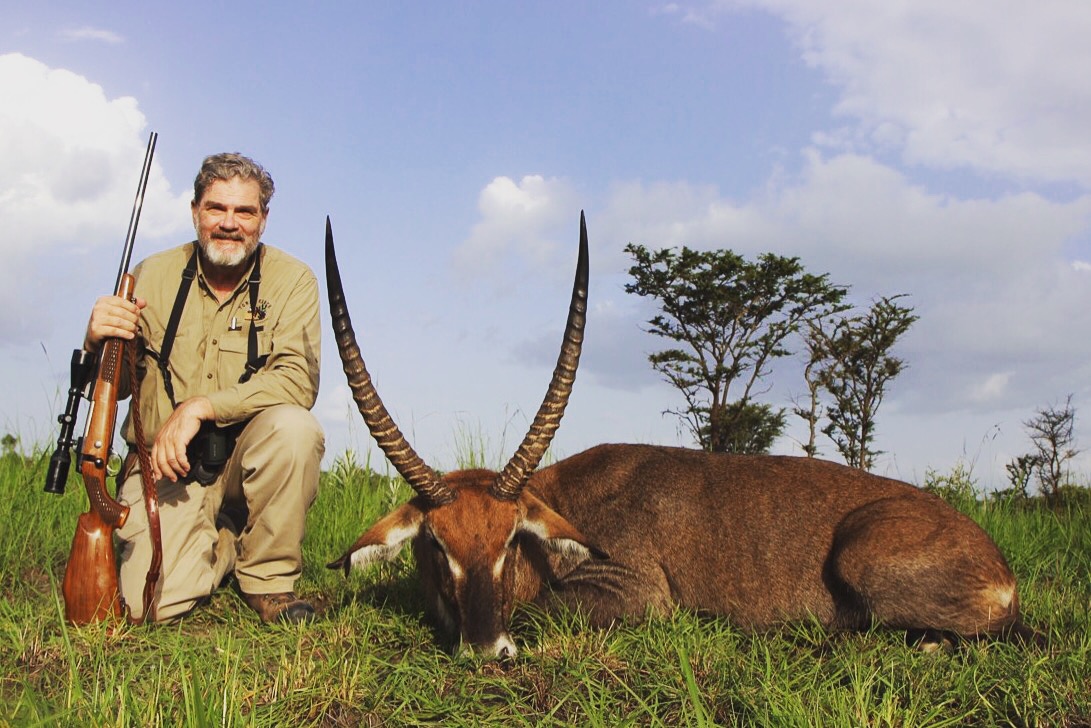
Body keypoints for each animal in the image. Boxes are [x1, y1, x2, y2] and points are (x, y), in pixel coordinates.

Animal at [320, 213, 1029, 659]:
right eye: (436, 545)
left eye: (512, 539)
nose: (488, 648)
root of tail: (998, 563)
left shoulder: (634, 593)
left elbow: (551, 607)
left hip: (861, 560)